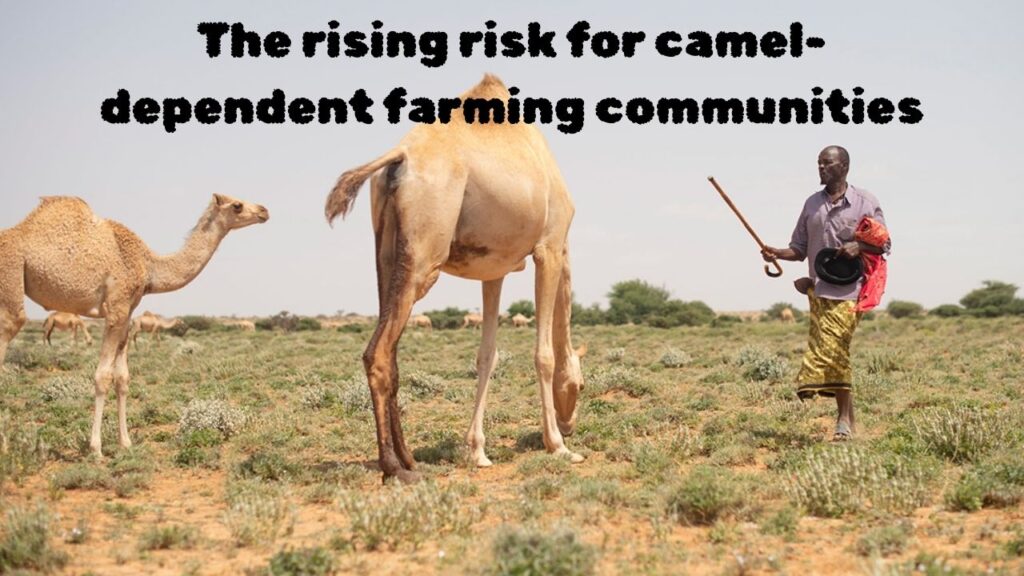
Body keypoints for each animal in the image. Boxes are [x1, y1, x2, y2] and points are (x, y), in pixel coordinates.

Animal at [0, 194, 268, 456]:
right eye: (237, 205)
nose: (264, 211)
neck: (148, 265)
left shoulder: (128, 313)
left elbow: (122, 378)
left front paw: (125, 442)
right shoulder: (116, 308)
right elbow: (103, 376)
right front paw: (96, 448)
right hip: (11, 276)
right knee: (12, 324)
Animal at [325, 74, 587, 482]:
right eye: (582, 385)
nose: (570, 423)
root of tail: (399, 158)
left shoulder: (494, 268)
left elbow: (487, 355)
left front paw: (477, 451)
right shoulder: (550, 246)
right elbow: (543, 354)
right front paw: (558, 446)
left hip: (387, 254)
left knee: (391, 351)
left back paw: (409, 457)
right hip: (425, 256)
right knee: (378, 353)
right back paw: (394, 468)